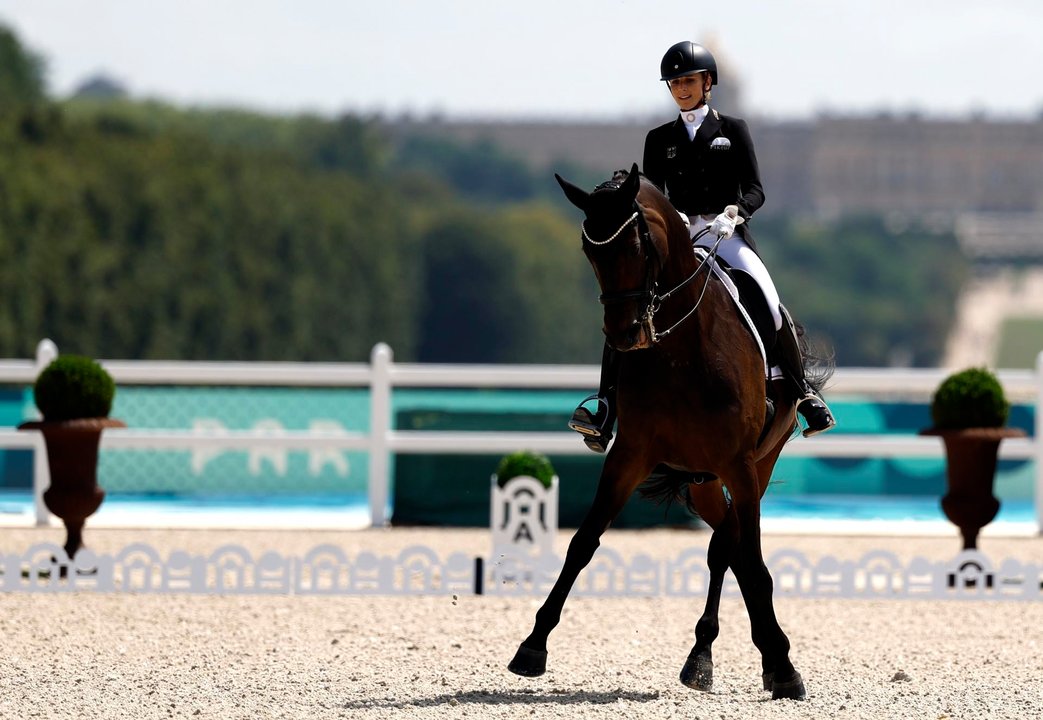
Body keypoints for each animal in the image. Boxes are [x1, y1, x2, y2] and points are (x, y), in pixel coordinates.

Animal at [504, 162, 821, 697]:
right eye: (589, 249)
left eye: (639, 243)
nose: (625, 335)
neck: (682, 348)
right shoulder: (630, 454)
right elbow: (582, 542)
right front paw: (532, 646)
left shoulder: (739, 464)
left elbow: (754, 564)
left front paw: (784, 669)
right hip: (704, 483)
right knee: (729, 544)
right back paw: (707, 655)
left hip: (755, 463)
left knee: (731, 548)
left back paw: (744, 655)